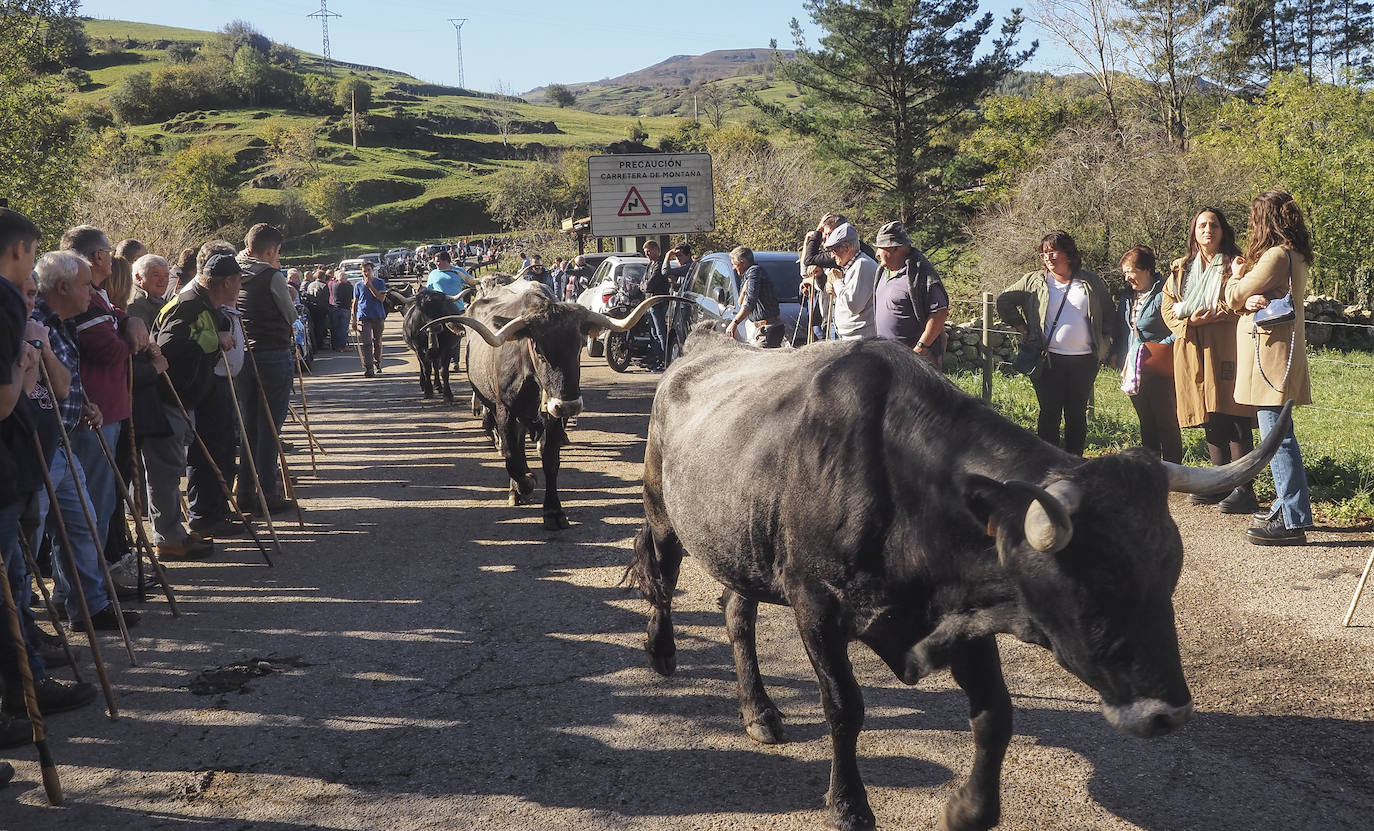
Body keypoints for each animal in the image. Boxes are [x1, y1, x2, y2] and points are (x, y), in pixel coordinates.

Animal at [442, 277, 684, 524]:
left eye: (578, 346)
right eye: (538, 349)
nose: (569, 405)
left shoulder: (554, 417)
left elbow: (550, 460)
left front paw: (553, 510)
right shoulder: (505, 412)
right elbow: (512, 457)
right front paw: (525, 484)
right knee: (513, 448)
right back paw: (517, 489)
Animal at [629, 326, 1291, 829]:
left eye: (1169, 569)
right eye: (1099, 578)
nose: (1167, 714)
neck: (901, 486)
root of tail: (699, 345)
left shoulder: (966, 617)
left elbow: (996, 714)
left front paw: (970, 809)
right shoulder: (814, 605)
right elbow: (844, 707)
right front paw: (849, 807)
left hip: (739, 543)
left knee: (735, 611)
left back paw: (760, 710)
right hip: (664, 510)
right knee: (660, 575)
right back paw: (662, 650)